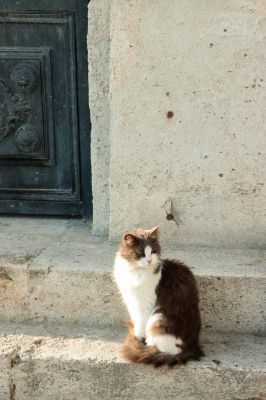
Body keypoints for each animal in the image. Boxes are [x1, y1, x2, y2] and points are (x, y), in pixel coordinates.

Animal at [112, 227, 204, 368]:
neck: (136, 272)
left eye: (153, 251)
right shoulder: (132, 302)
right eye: (141, 253)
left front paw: (137, 339)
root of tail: (191, 350)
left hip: (157, 320)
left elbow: (139, 326)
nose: (149, 261)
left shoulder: (143, 305)